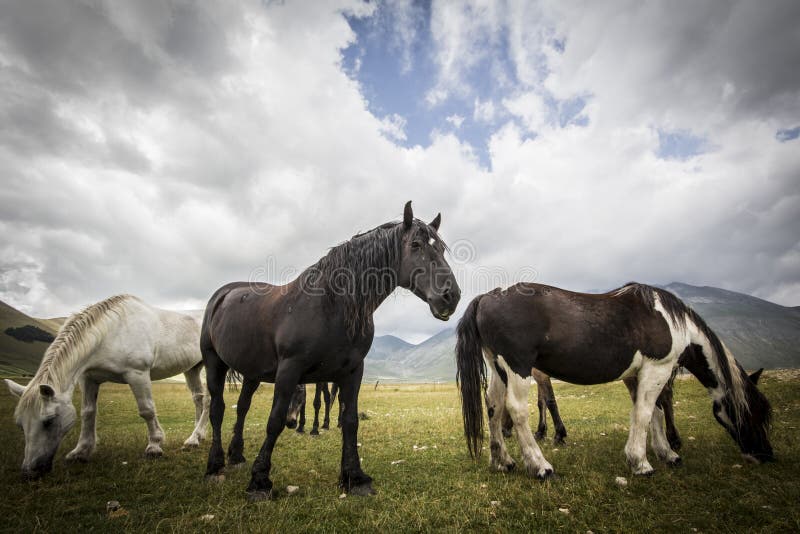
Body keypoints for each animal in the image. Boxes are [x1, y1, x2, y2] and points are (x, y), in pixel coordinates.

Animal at [4, 296, 209, 480]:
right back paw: (197, 437)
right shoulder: (88, 379)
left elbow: (147, 410)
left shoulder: (138, 374)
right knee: (198, 398)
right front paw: (81, 451)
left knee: (207, 400)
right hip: (192, 369)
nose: (30, 472)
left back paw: (194, 438)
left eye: (48, 421)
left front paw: (154, 446)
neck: (111, 332)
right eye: (20, 424)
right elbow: (88, 412)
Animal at [203, 203, 460, 500]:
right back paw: (215, 464)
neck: (331, 304)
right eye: (416, 245)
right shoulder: (289, 370)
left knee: (242, 408)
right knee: (217, 409)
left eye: (441, 249)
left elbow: (350, 421)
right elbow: (275, 420)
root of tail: (223, 294)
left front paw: (354, 477)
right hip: (214, 363)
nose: (451, 296)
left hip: (252, 373)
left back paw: (236, 455)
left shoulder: (352, 371)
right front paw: (260, 480)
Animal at [460, 282, 772, 480]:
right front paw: (641, 463)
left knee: (494, 408)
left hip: (499, 368)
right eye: (754, 412)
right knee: (516, 410)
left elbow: (654, 413)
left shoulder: (638, 376)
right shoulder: (657, 369)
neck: (672, 321)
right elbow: (644, 414)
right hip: (518, 368)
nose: (766, 455)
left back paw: (502, 462)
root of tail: (487, 297)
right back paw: (540, 467)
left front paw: (667, 453)